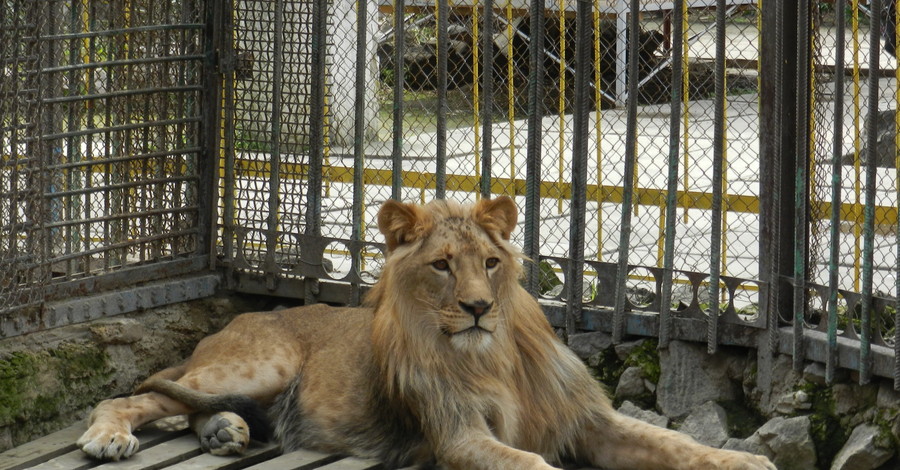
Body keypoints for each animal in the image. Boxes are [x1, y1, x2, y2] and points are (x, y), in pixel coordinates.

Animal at [75, 196, 772, 468]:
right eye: (441, 266)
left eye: (489, 263)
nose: (478, 307)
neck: (491, 356)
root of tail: (241, 314)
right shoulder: (457, 435)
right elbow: (531, 462)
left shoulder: (588, 420)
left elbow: (677, 442)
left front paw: (745, 459)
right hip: (260, 364)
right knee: (136, 395)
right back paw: (110, 436)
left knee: (187, 403)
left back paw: (224, 430)